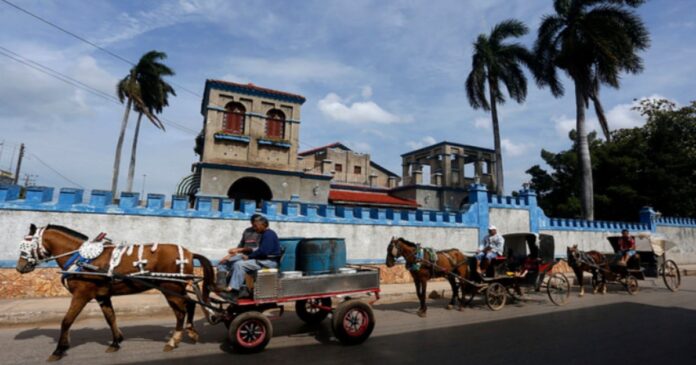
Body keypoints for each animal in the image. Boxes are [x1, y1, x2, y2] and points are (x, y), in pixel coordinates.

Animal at [14, 223, 215, 360]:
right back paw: (191, 332)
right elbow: (110, 318)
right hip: (177, 287)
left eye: (25, 245)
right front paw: (116, 342)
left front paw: (58, 350)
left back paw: (173, 340)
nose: (20, 267)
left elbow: (66, 321)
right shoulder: (102, 296)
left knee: (181, 312)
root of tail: (189, 253)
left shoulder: (81, 295)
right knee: (190, 305)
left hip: (170, 288)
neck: (81, 258)